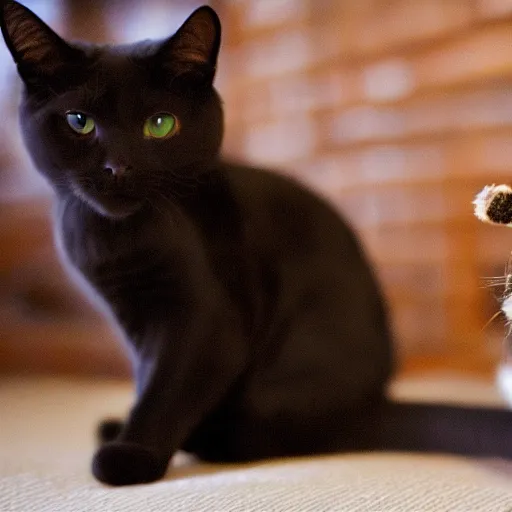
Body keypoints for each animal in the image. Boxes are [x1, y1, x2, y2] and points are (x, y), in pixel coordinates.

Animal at [2, 0, 510, 486]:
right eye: (79, 122)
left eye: (160, 124)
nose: (118, 168)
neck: (116, 241)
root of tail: (376, 404)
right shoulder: (134, 320)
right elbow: (149, 378)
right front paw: (129, 434)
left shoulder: (208, 321)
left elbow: (168, 387)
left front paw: (131, 456)